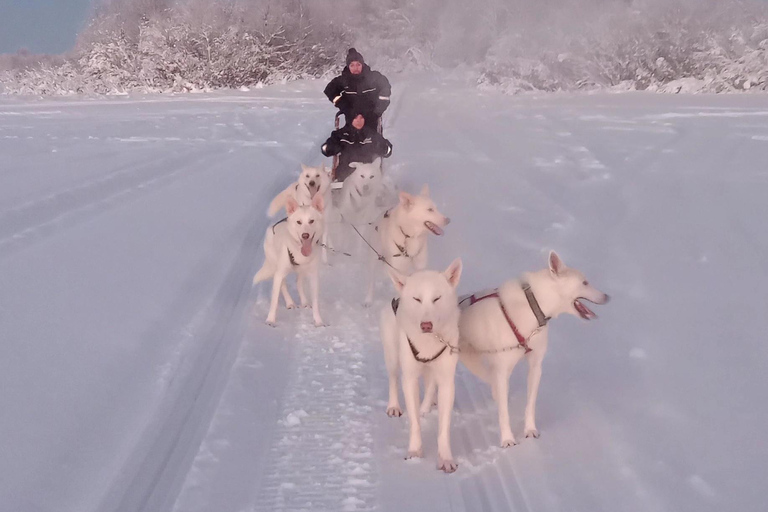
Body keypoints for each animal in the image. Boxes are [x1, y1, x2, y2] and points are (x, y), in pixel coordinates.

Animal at [252, 192, 324, 328]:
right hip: (277, 267)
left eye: (311, 221)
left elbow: (316, 301)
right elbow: (274, 300)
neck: (299, 250)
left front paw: (318, 321)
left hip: (301, 271)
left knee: (298, 282)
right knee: (283, 285)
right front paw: (270, 320)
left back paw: (304, 302)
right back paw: (290, 303)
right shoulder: (279, 274)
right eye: (299, 222)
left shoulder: (314, 275)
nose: (305, 235)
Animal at [380, 258, 464, 474]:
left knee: (430, 385)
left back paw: (427, 405)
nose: (426, 325)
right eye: (417, 299)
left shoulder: (446, 380)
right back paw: (394, 405)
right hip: (393, 356)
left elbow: (443, 428)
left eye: (437, 299)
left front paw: (445, 459)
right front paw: (415, 452)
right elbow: (414, 422)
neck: (428, 343)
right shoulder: (409, 378)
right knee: (393, 378)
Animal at [452, 252, 608, 448]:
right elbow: (504, 412)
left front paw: (530, 430)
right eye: (585, 282)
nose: (607, 296)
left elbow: (530, 403)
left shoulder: (535, 366)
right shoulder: (502, 371)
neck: (533, 307)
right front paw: (507, 439)